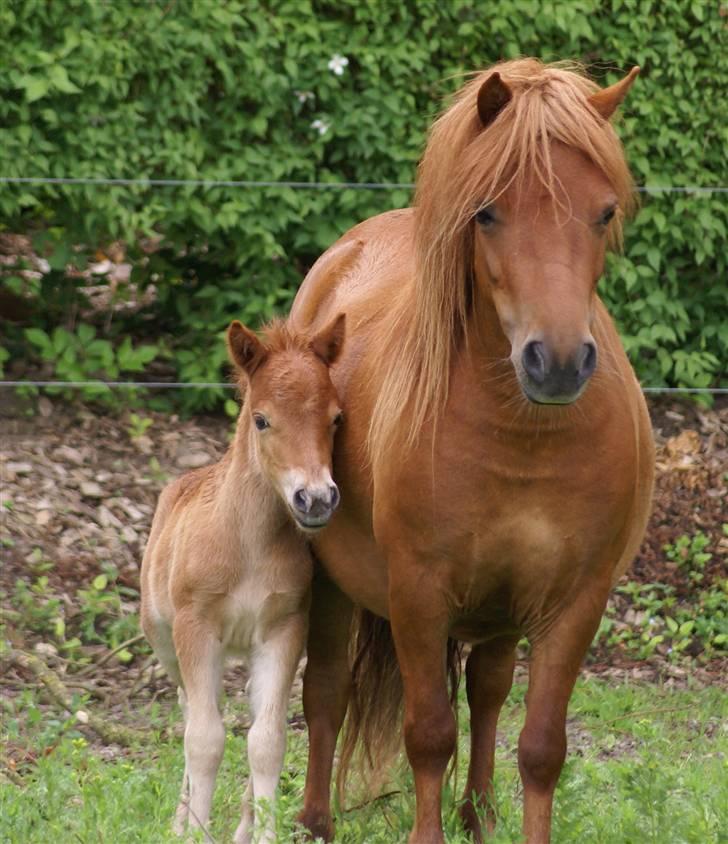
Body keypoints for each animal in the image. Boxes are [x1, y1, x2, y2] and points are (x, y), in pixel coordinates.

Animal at [142, 314, 346, 840]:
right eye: (262, 419)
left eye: (336, 418)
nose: (316, 499)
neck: (248, 543)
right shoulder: (195, 629)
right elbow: (205, 738)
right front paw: (195, 832)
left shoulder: (283, 630)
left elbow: (267, 740)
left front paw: (260, 834)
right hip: (167, 642)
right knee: (188, 710)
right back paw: (179, 821)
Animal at [288, 61, 656, 844]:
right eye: (487, 213)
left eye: (604, 212)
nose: (557, 363)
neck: (524, 440)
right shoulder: (418, 595)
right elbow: (428, 733)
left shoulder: (575, 602)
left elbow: (540, 747)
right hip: (327, 575)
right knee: (326, 691)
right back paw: (314, 821)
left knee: (487, 694)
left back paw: (479, 815)